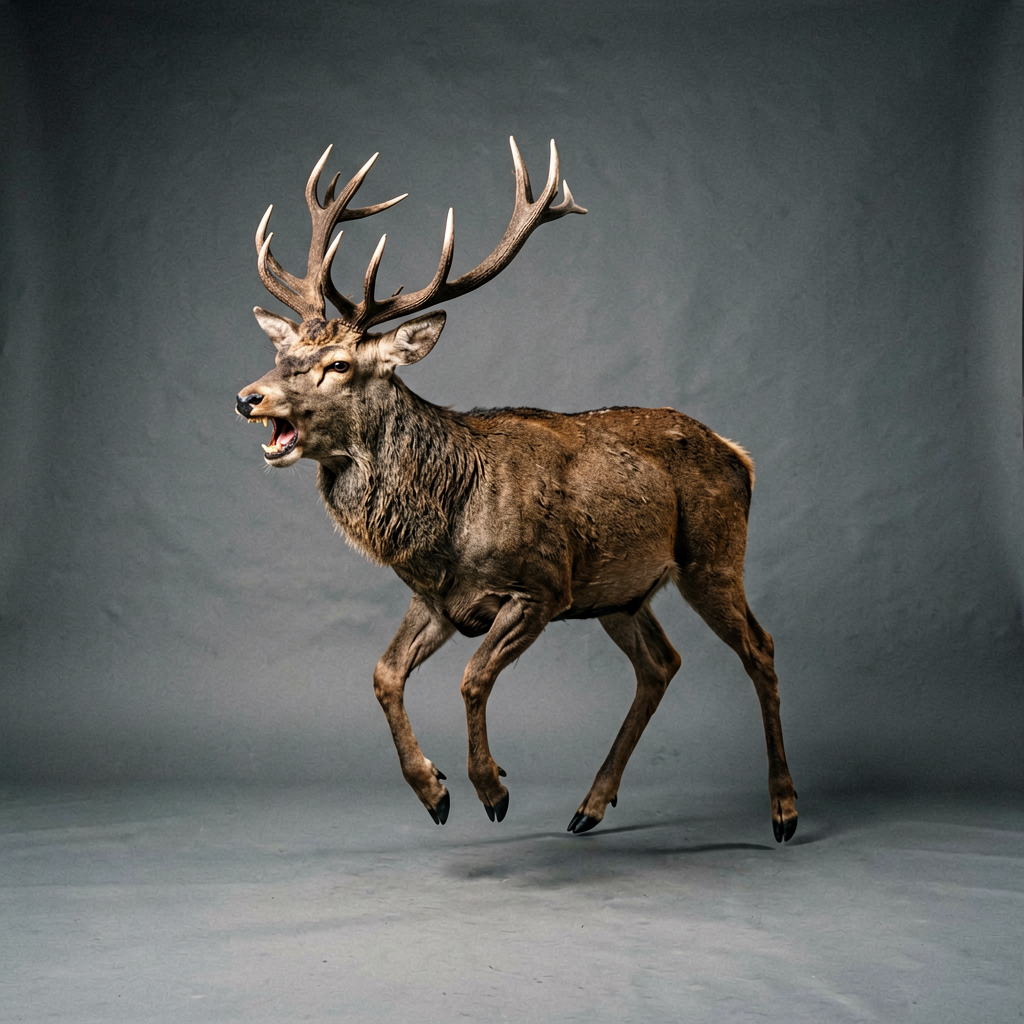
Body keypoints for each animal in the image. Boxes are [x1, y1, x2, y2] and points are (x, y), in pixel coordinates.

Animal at [234, 137, 798, 842]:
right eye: (282, 356)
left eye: (338, 364)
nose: (248, 396)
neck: (446, 523)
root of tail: (738, 455)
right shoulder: (439, 598)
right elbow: (384, 673)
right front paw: (434, 791)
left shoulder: (542, 586)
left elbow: (473, 679)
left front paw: (490, 789)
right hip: (620, 591)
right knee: (661, 663)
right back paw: (589, 806)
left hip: (713, 557)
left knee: (760, 646)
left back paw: (783, 810)